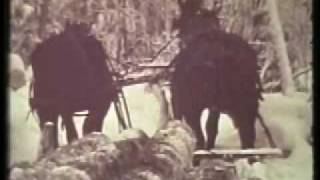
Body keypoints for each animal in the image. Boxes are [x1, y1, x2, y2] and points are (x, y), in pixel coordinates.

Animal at [170, 5, 262, 150]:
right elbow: (211, 129)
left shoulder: (186, 103)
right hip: (245, 102)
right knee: (246, 133)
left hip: (196, 103)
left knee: (200, 133)